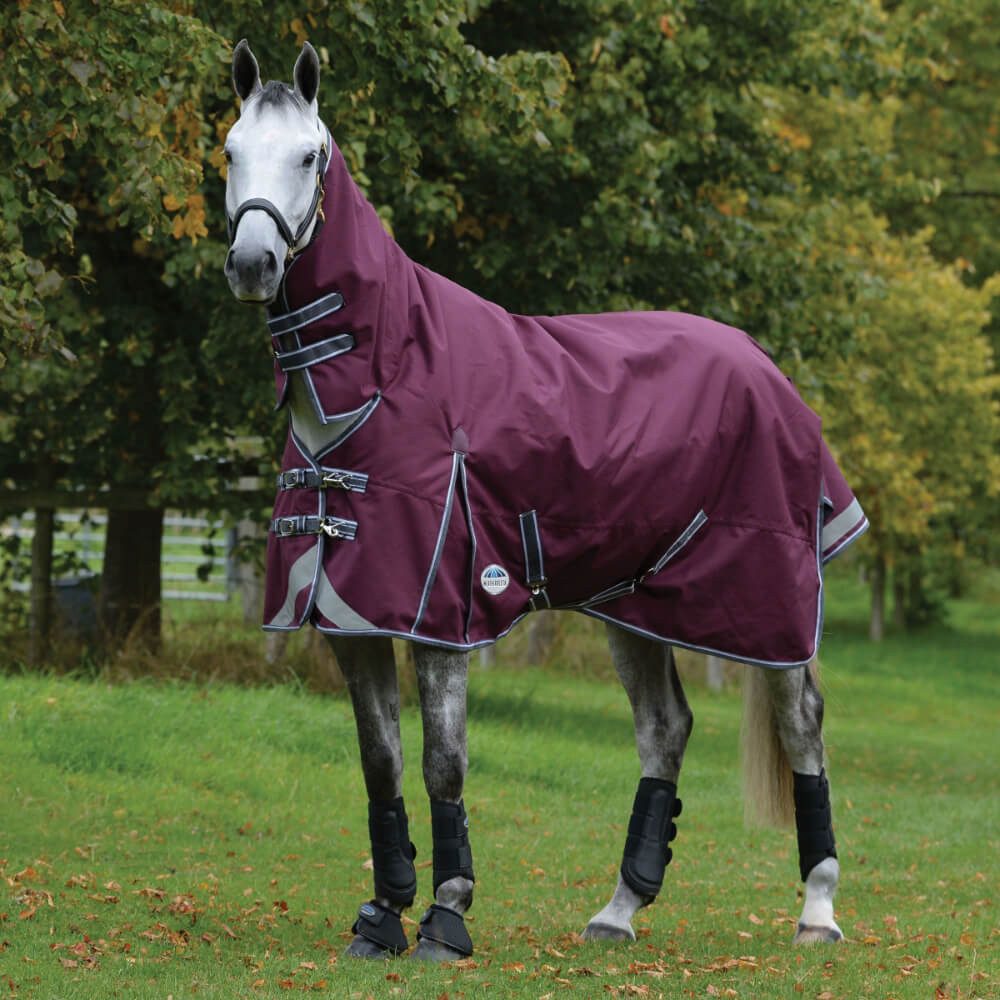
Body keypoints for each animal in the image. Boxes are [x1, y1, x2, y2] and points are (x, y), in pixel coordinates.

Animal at [222, 40, 865, 960]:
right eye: (230, 151)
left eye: (309, 156)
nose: (253, 265)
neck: (387, 375)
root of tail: (764, 366)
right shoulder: (355, 620)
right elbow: (380, 763)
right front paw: (380, 918)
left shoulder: (442, 614)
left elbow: (442, 761)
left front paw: (446, 918)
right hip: (635, 606)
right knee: (664, 729)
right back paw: (618, 911)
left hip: (765, 603)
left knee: (802, 721)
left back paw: (818, 911)